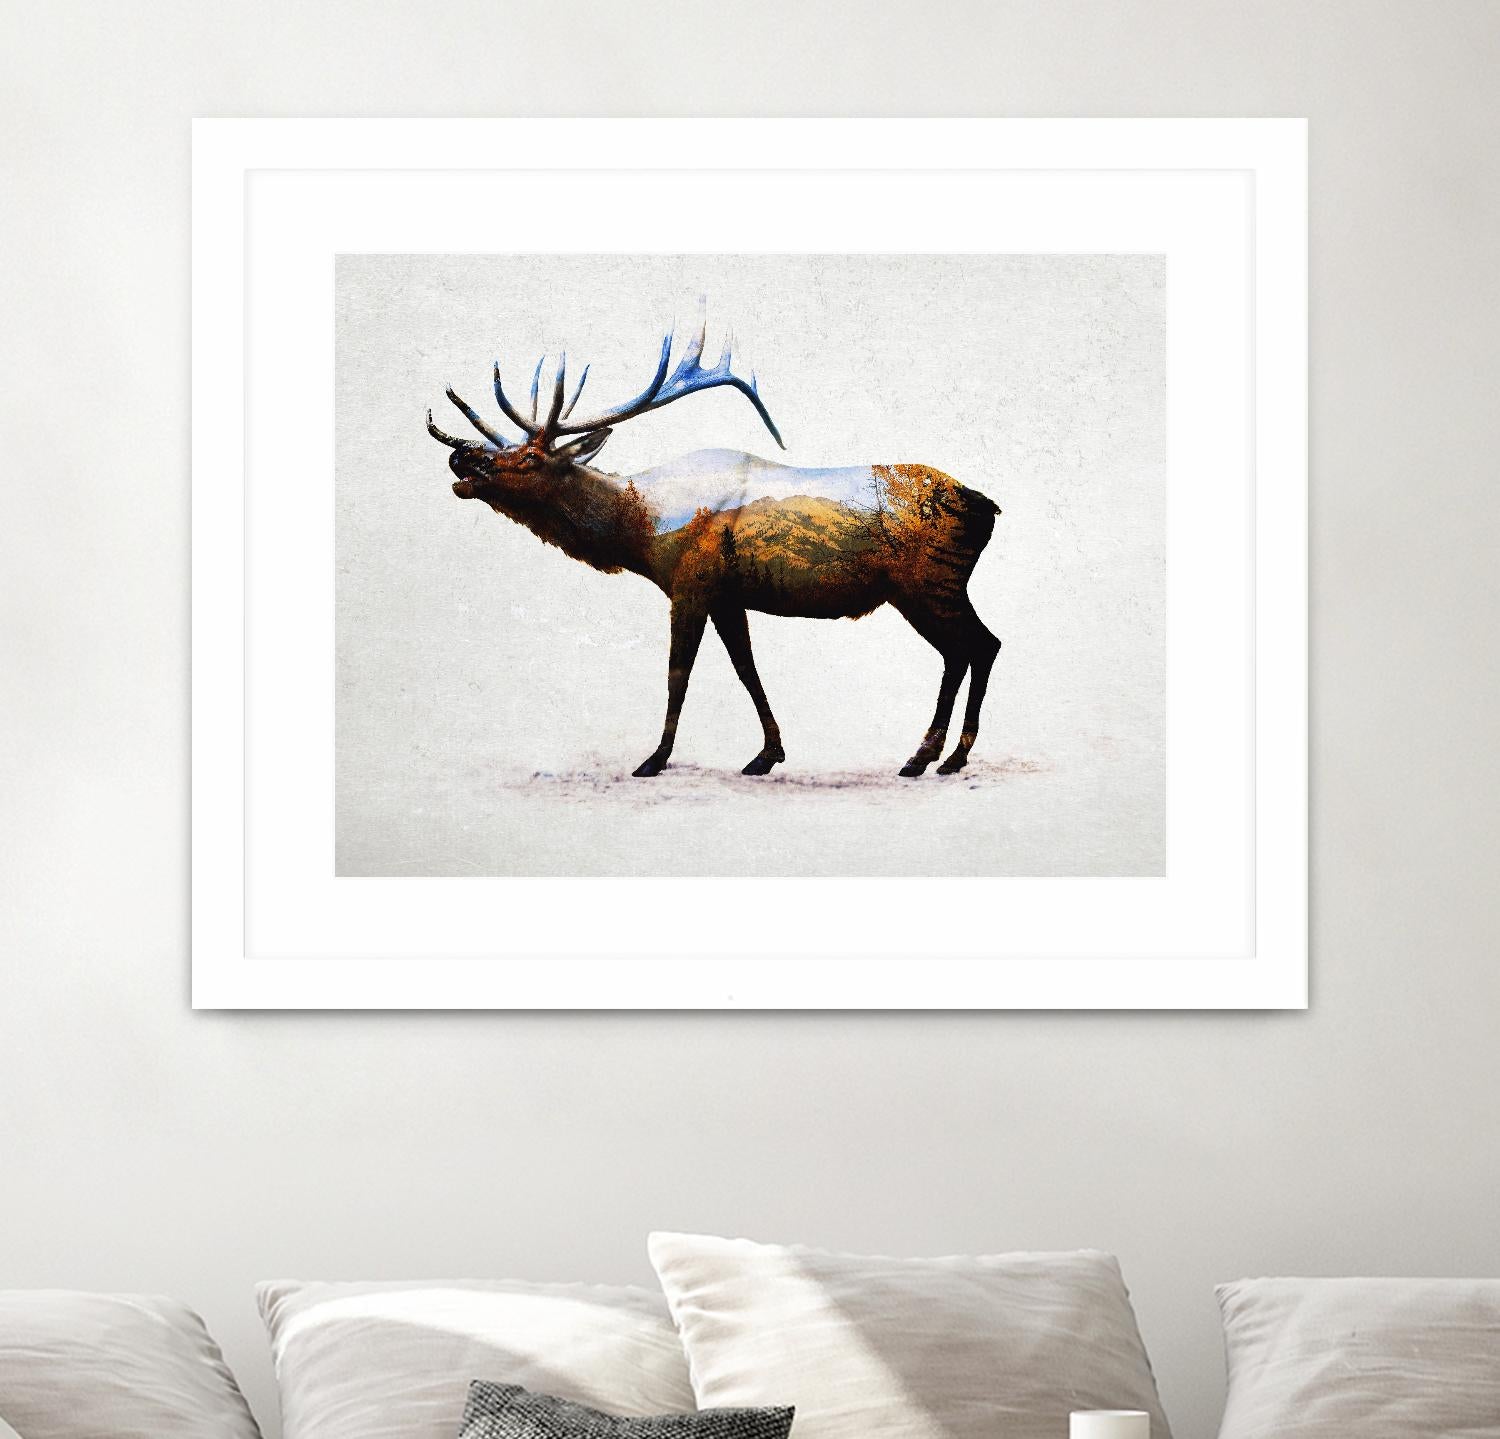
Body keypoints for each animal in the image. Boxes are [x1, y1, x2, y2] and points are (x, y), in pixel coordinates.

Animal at [427, 326, 1002, 779]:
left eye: (529, 457)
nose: (462, 457)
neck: (642, 529)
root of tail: (987, 507)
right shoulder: (728, 596)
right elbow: (747, 668)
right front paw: (768, 753)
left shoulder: (690, 584)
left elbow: (677, 674)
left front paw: (654, 758)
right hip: (936, 587)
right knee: (974, 647)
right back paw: (942, 757)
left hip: (927, 582)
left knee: (975, 646)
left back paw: (932, 757)